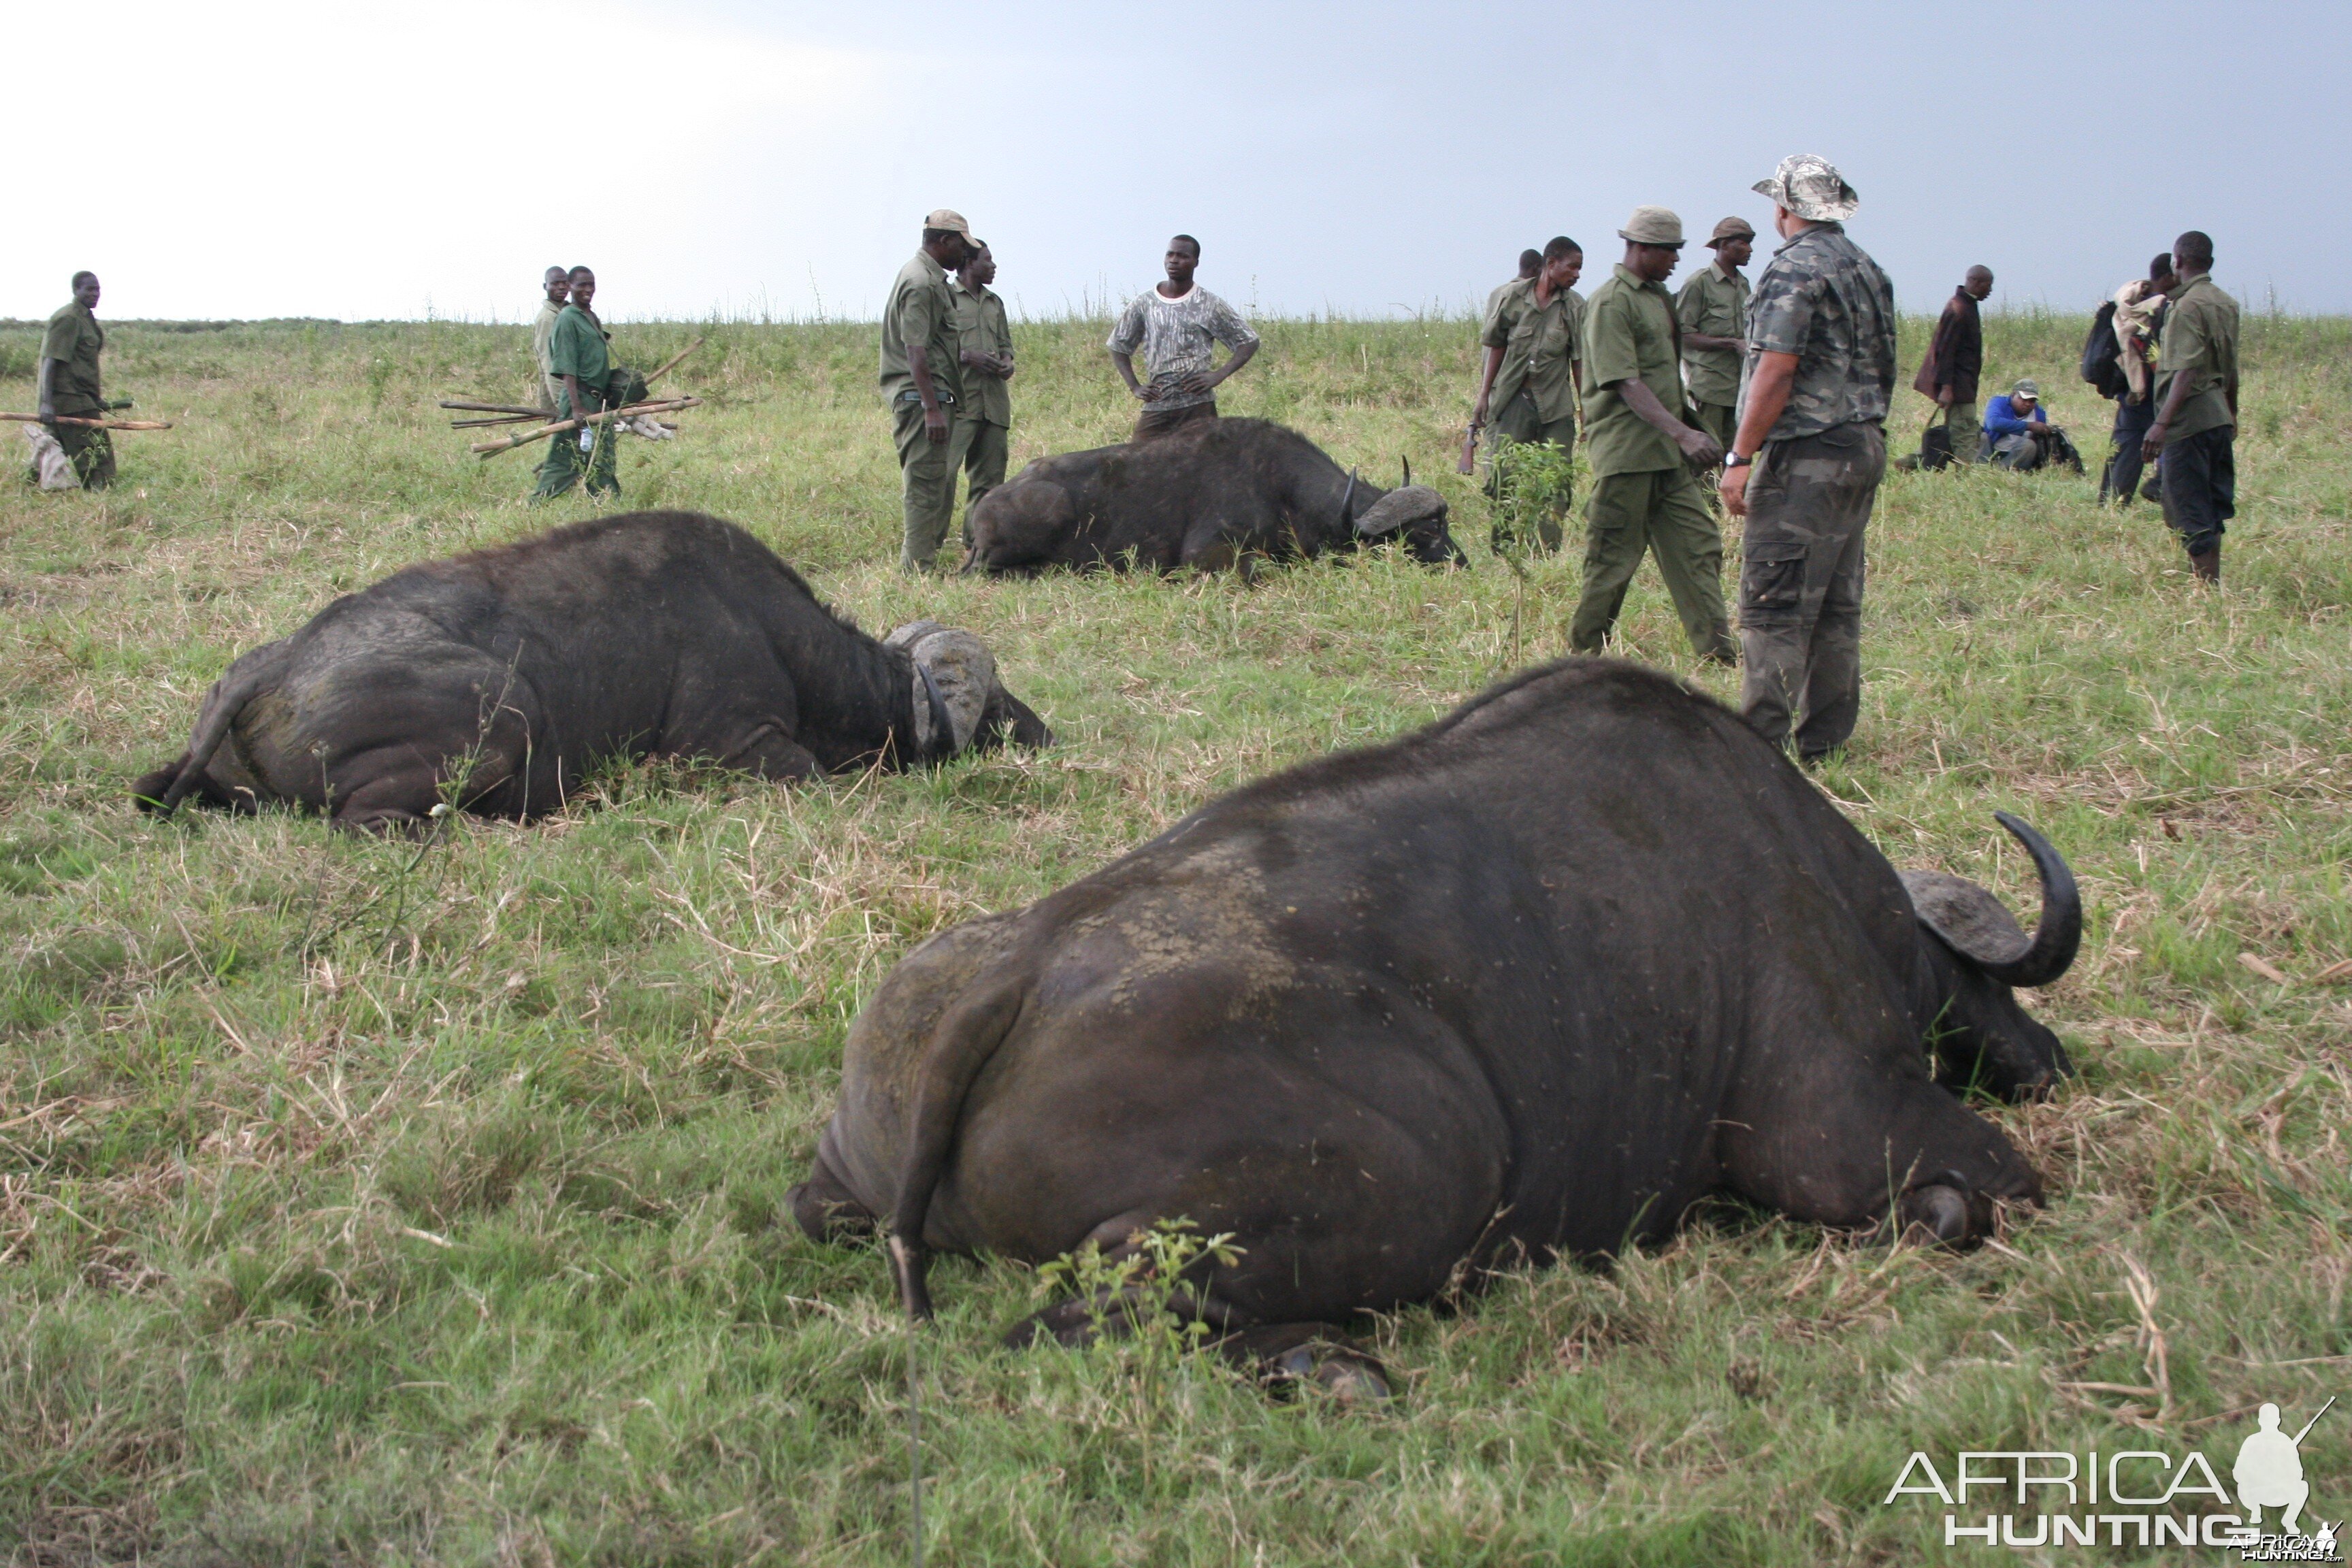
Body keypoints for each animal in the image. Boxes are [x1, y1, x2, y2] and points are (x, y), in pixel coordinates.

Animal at [131, 512, 1049, 832]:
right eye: (995, 700)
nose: (1043, 730)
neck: (778, 633)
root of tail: (276, 662)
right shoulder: (739, 745)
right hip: (502, 717)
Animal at [795, 663, 2079, 1401]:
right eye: (1999, 996)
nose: (2054, 1060)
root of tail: (1021, 965)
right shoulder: (1839, 1122)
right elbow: (1999, 1185)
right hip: (1432, 1172)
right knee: (1083, 1314)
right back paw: (1328, 1368)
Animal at [964, 416, 1458, 576]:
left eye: (1445, 522)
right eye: (1424, 532)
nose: (1462, 562)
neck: (1280, 488)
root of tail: (982, 510)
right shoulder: (1207, 554)